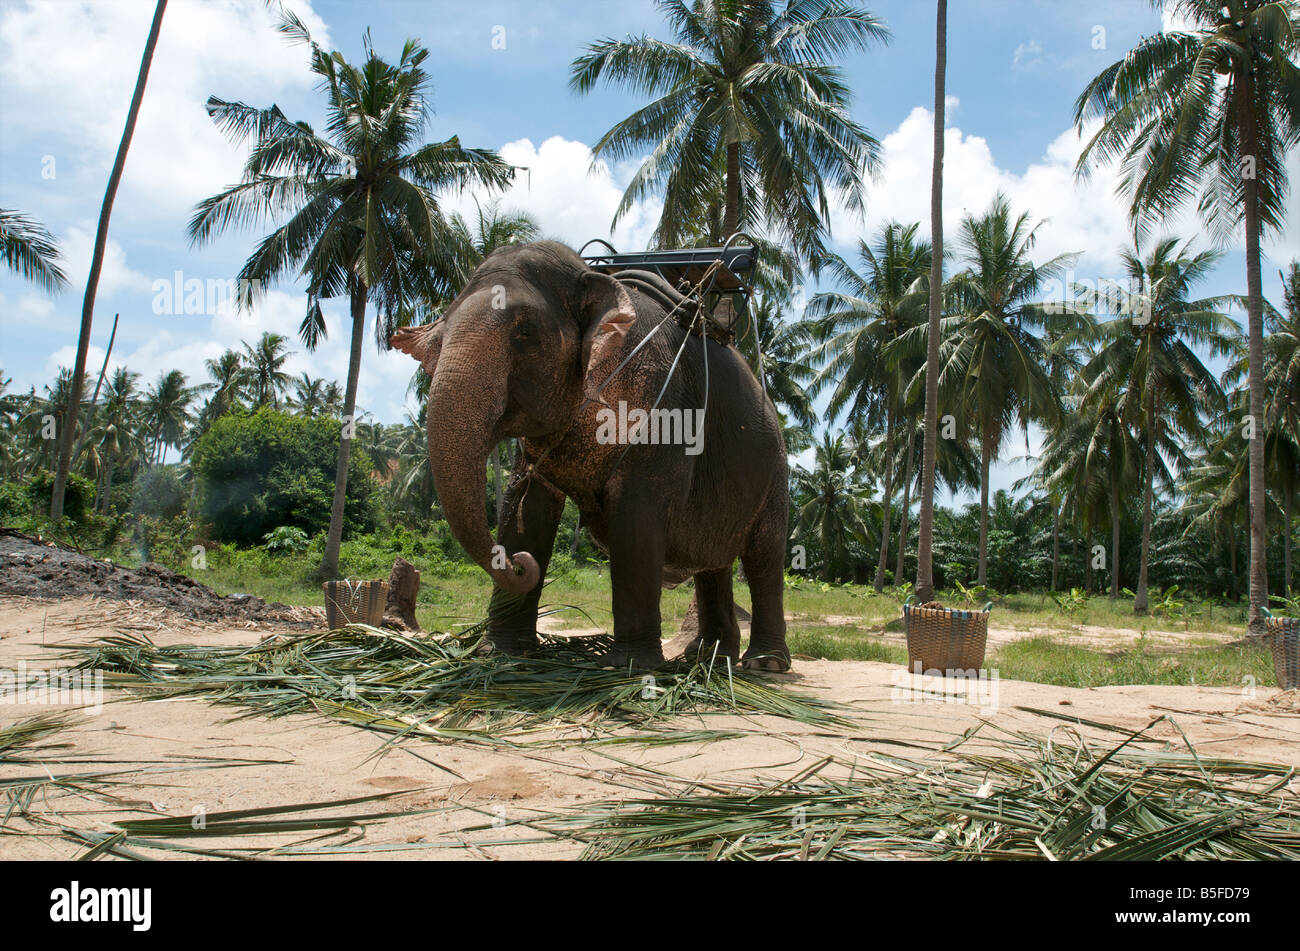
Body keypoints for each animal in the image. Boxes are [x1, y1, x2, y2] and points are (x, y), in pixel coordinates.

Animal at [390, 239, 785, 670]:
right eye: (441, 336)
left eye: (525, 333)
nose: (518, 563)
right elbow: (530, 504)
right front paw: (500, 652)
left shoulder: (664, 407)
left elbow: (635, 509)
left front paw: (630, 666)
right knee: (713, 564)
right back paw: (707, 658)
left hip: (776, 474)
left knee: (763, 558)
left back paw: (763, 664)